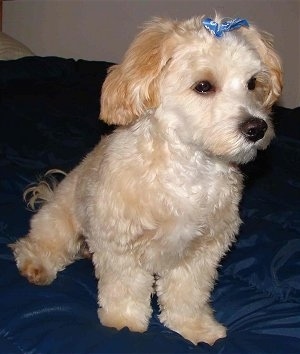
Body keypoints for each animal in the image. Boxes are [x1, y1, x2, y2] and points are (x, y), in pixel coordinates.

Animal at [9, 14, 282, 346]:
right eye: (204, 86)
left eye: (252, 83)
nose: (257, 128)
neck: (188, 168)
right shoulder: (120, 244)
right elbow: (125, 287)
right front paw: (124, 323)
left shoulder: (202, 252)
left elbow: (187, 294)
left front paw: (194, 327)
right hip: (60, 222)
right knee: (38, 245)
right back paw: (36, 264)